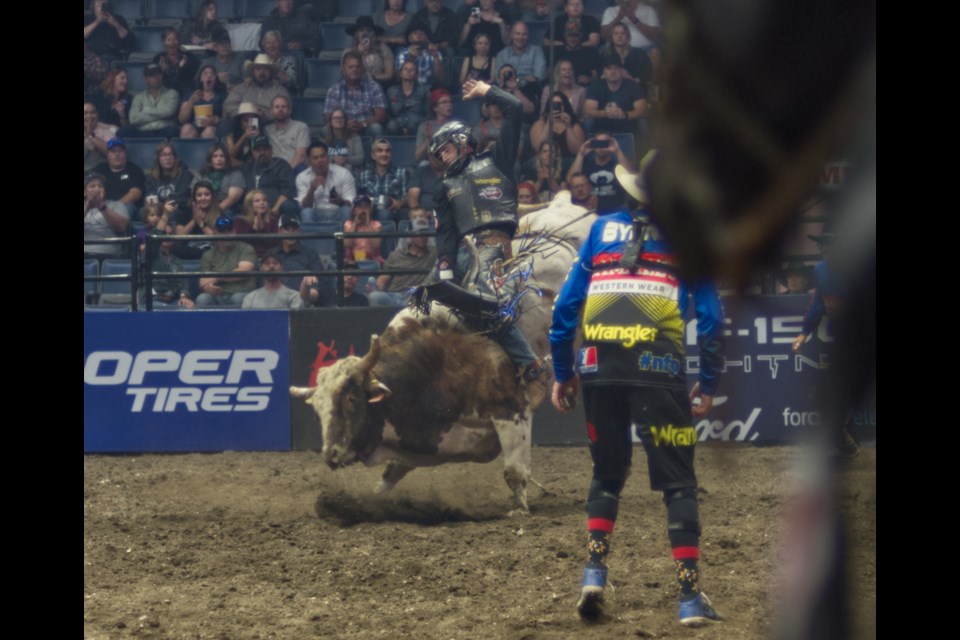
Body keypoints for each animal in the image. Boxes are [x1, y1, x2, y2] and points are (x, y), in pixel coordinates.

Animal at [288, 191, 596, 516]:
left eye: (351, 399)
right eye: (317, 408)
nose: (331, 454)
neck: (435, 364)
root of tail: (560, 204)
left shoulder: (511, 412)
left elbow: (514, 472)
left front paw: (520, 510)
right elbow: (389, 474)